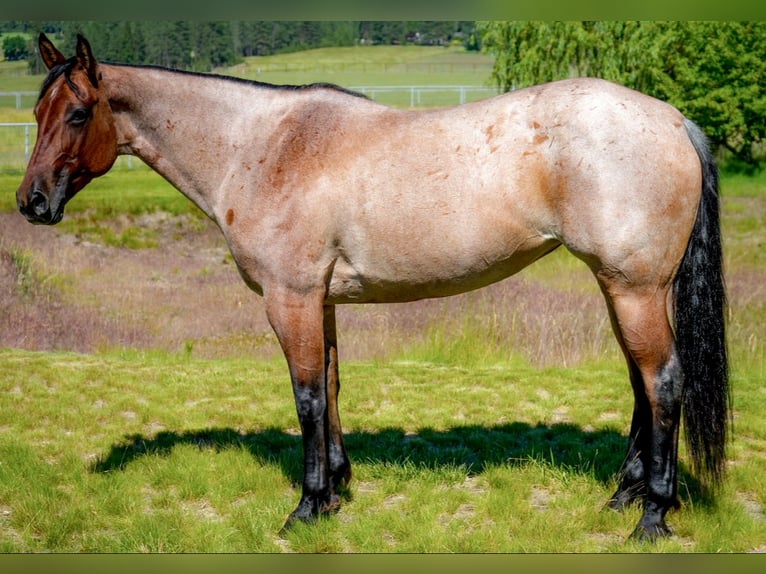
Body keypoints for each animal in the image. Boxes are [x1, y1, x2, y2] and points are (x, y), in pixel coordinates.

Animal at [16, 33, 729, 541]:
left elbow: (305, 397)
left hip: (633, 288)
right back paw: (623, 496)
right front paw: (335, 490)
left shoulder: (291, 299)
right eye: (38, 111)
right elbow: (331, 388)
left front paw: (306, 508)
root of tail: (673, 121)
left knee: (664, 382)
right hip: (624, 289)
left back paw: (652, 518)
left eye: (77, 113)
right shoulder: (321, 301)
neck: (264, 147)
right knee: (642, 384)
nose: (31, 202)